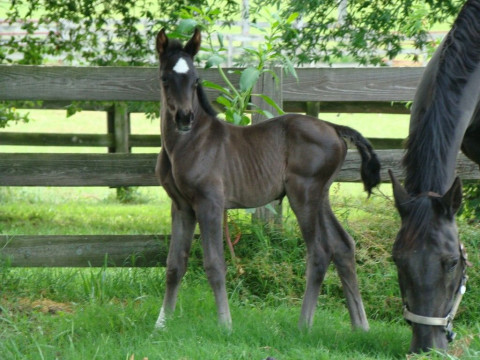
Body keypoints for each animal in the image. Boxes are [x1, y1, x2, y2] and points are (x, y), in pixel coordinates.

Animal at [156, 27, 380, 332]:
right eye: (165, 79)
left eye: (195, 80)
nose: (184, 117)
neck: (186, 144)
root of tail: (334, 128)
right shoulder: (181, 206)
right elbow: (174, 264)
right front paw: (161, 324)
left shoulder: (209, 203)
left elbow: (214, 264)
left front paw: (225, 325)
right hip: (320, 196)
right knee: (343, 246)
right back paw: (360, 326)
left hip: (303, 194)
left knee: (321, 250)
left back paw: (304, 325)